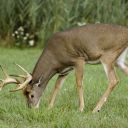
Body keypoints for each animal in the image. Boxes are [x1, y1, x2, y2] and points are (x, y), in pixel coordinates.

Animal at [0, 23, 128, 112]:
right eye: (23, 95)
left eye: (31, 94)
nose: (31, 108)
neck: (54, 58)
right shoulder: (64, 70)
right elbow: (57, 86)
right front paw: (49, 107)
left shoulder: (78, 59)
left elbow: (79, 83)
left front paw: (81, 108)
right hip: (119, 59)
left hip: (108, 55)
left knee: (114, 80)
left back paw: (95, 109)